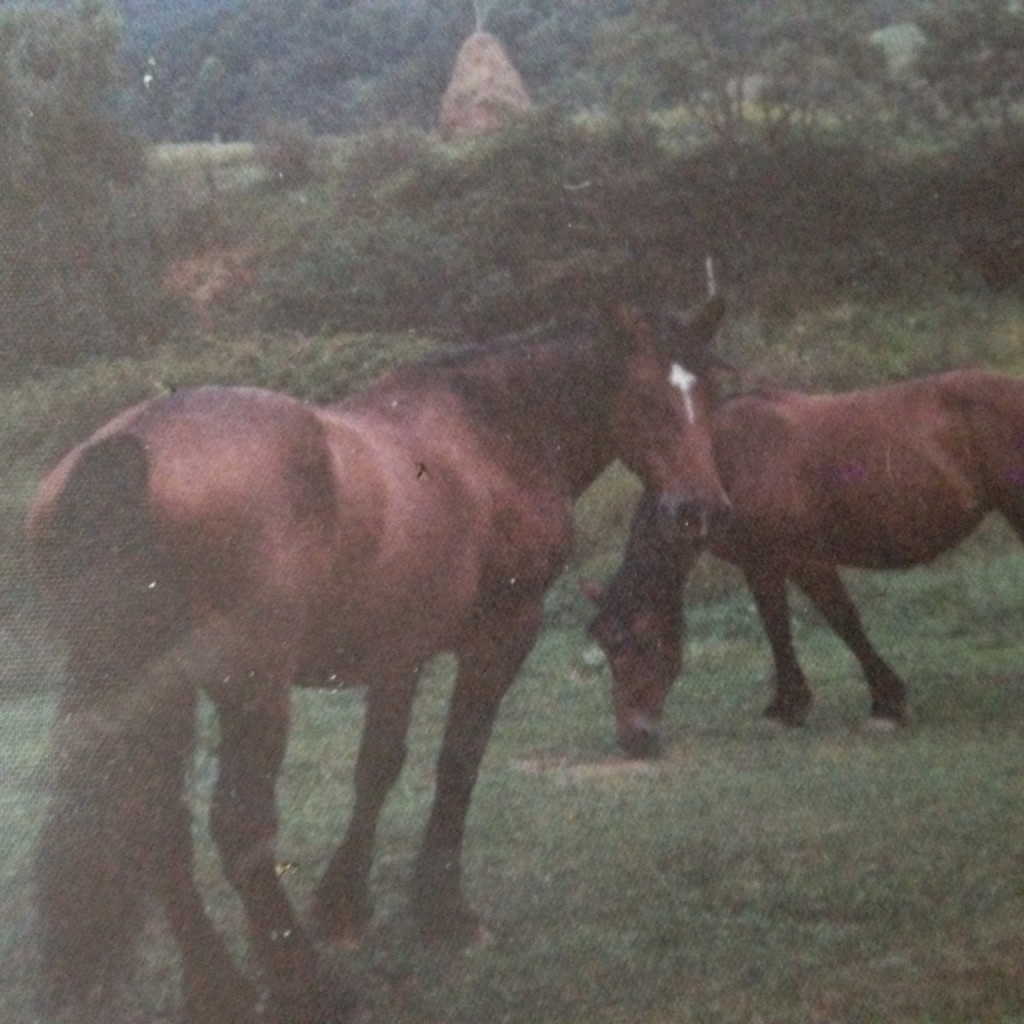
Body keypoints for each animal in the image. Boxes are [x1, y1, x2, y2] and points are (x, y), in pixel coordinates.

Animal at [28, 297, 728, 1023]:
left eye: (712, 392)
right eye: (644, 397)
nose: (697, 509)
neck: (493, 431)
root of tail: (128, 450)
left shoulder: (399, 653)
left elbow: (378, 769)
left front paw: (345, 902)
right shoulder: (500, 636)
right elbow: (457, 763)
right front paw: (443, 912)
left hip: (151, 693)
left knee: (153, 821)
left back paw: (220, 987)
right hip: (252, 689)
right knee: (237, 824)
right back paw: (305, 984)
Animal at [585, 367, 1024, 759]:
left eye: (639, 643)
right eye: (605, 645)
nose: (633, 739)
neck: (725, 462)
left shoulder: (806, 559)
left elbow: (842, 620)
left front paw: (886, 705)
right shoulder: (760, 564)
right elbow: (776, 626)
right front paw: (787, 707)